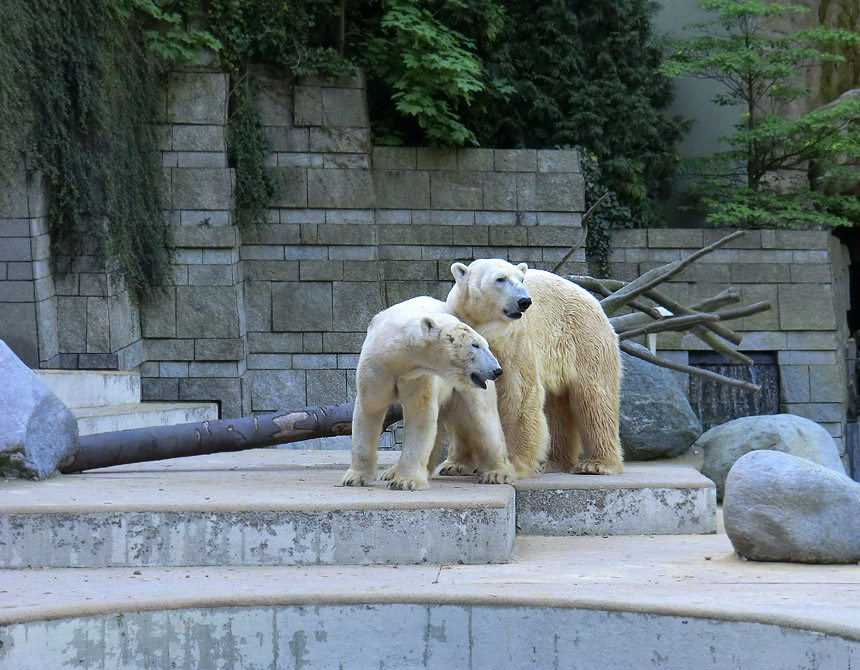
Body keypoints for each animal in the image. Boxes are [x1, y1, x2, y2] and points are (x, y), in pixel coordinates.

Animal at [342, 296, 516, 490]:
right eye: (475, 345)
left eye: (486, 345)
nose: (496, 370)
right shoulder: (377, 368)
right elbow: (370, 407)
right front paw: (355, 477)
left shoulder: (419, 376)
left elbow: (420, 414)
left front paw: (405, 481)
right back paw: (394, 471)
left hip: (466, 386)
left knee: (484, 418)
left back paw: (497, 473)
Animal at [446, 258, 620, 478]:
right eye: (500, 279)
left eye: (521, 279)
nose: (524, 301)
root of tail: (594, 300)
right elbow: (463, 400)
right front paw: (455, 465)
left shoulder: (514, 342)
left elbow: (519, 393)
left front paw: (510, 467)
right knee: (557, 407)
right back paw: (553, 463)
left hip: (585, 341)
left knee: (594, 399)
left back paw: (596, 464)